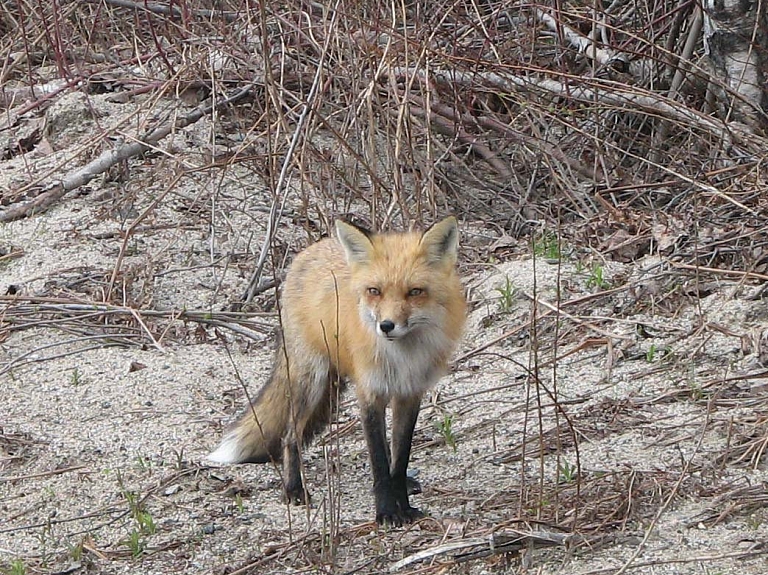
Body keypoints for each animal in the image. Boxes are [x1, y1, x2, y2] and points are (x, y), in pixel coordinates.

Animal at [207, 216, 464, 528]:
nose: (386, 326)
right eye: (374, 291)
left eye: (415, 292)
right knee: (289, 437)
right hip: (311, 381)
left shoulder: (410, 393)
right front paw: (386, 512)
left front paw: (403, 505)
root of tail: (309, 251)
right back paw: (294, 490)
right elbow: (379, 462)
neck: (402, 357)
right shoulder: (370, 393)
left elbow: (399, 458)